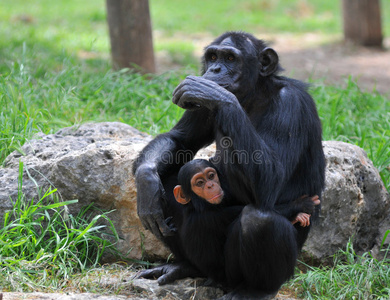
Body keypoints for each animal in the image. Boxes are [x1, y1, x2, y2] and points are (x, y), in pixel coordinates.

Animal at [133, 30, 324, 298]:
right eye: (213, 56)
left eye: (231, 58)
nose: (214, 69)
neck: (254, 95)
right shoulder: (199, 109)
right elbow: (180, 140)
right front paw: (146, 181)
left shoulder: (290, 105)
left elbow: (271, 177)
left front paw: (216, 95)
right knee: (169, 181)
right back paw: (184, 266)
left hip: (246, 272)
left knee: (258, 220)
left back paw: (255, 290)